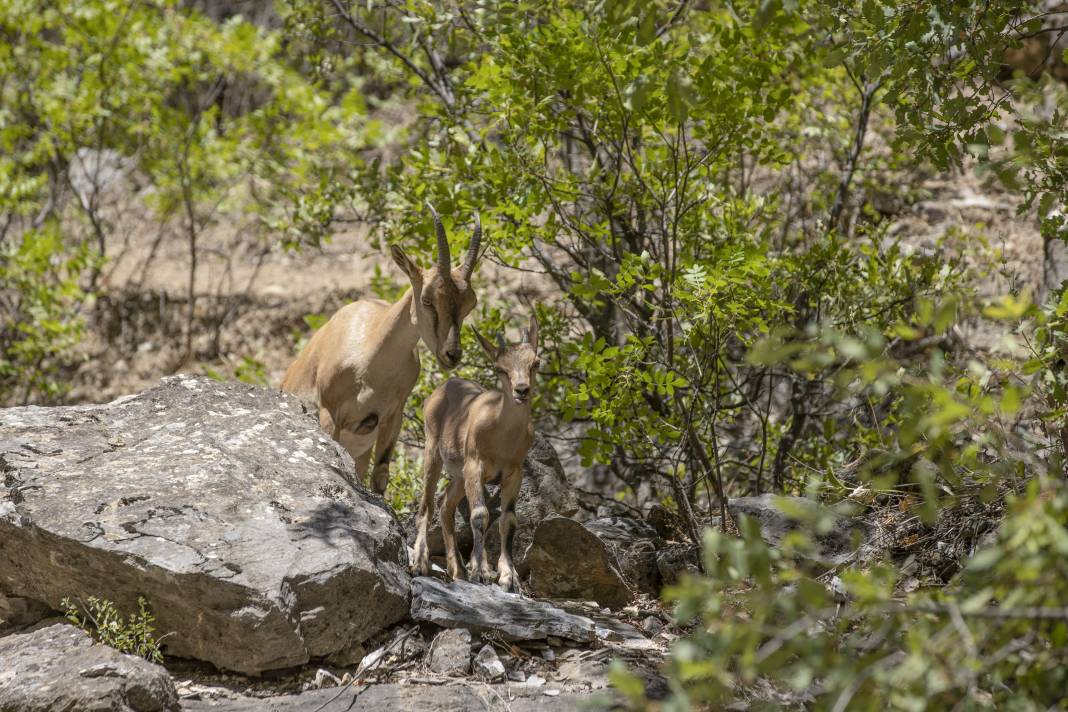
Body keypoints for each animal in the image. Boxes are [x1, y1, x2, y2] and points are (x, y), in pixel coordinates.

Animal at [284, 206, 484, 495]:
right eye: (427, 299)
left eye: (470, 303)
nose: (452, 354)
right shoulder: (329, 414)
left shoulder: (392, 417)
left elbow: (380, 477)